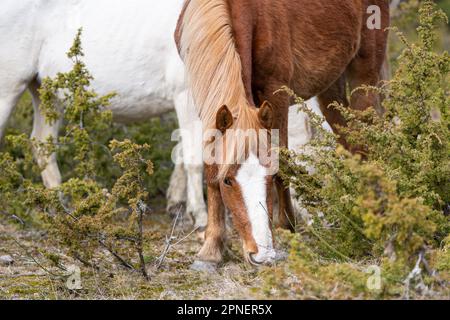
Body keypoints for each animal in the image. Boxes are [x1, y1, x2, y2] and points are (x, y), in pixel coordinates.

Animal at [0, 0, 207, 230]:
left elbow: (182, 149)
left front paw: (177, 205)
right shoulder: (187, 95)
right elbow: (194, 156)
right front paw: (200, 217)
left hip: (45, 92)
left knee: (42, 144)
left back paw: (61, 208)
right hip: (8, 89)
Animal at [176, 0, 390, 268]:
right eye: (228, 181)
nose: (261, 254)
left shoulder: (276, 91)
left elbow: (283, 158)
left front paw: (286, 228)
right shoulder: (205, 97)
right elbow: (211, 166)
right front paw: (211, 248)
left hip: (364, 73)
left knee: (364, 144)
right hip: (332, 86)